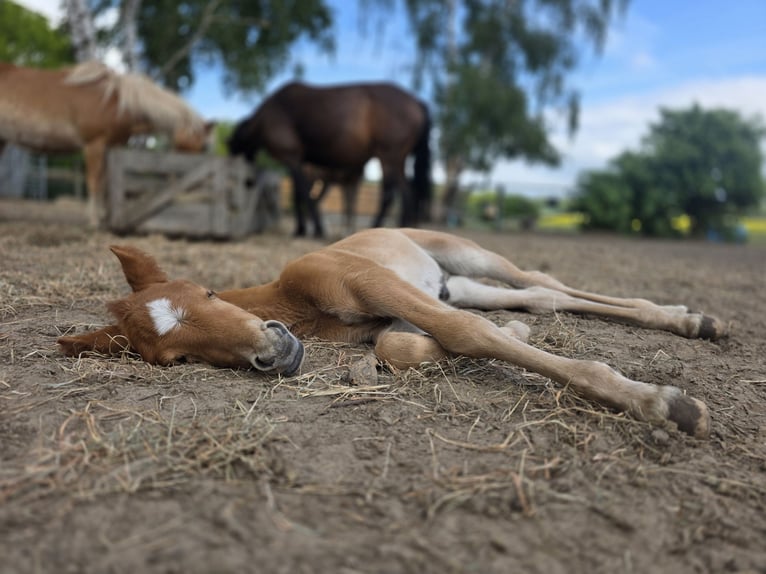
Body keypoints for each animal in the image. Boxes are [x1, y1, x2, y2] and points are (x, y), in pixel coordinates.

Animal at [0, 61, 214, 226]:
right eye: (199, 146)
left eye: (205, 148)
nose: (197, 187)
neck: (114, 101)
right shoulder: (94, 145)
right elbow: (94, 182)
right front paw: (94, 221)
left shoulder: (110, 148)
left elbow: (105, 183)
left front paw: (104, 219)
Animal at [58, 228, 726, 439]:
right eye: (176, 359)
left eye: (208, 294)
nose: (273, 350)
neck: (299, 306)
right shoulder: (396, 314)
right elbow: (399, 345)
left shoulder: (373, 283)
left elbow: (465, 334)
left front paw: (663, 403)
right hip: (457, 282)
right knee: (542, 296)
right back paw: (687, 318)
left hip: (466, 256)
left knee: (538, 278)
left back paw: (692, 319)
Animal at [227, 81, 431, 238]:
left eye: (233, 148)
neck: (267, 116)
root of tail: (416, 101)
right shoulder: (299, 162)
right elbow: (298, 194)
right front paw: (300, 229)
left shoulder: (292, 158)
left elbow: (303, 193)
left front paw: (316, 229)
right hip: (397, 161)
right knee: (408, 193)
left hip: (389, 157)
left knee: (390, 196)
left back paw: (374, 228)